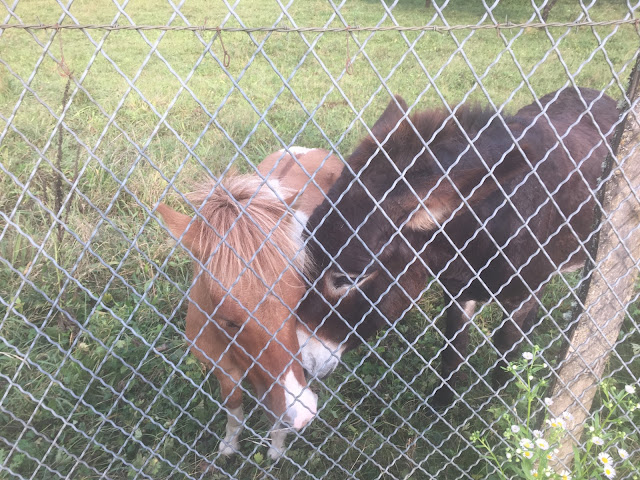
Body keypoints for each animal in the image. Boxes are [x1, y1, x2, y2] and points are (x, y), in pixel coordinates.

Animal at [157, 147, 342, 458]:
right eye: (229, 321)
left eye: (296, 305)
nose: (303, 414)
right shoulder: (223, 368)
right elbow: (233, 404)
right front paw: (230, 443)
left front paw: (277, 447)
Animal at [294, 87, 618, 405]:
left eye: (348, 279)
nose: (300, 366)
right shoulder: (457, 291)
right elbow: (453, 349)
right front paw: (442, 404)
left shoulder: (520, 295)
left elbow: (505, 347)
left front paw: (500, 399)